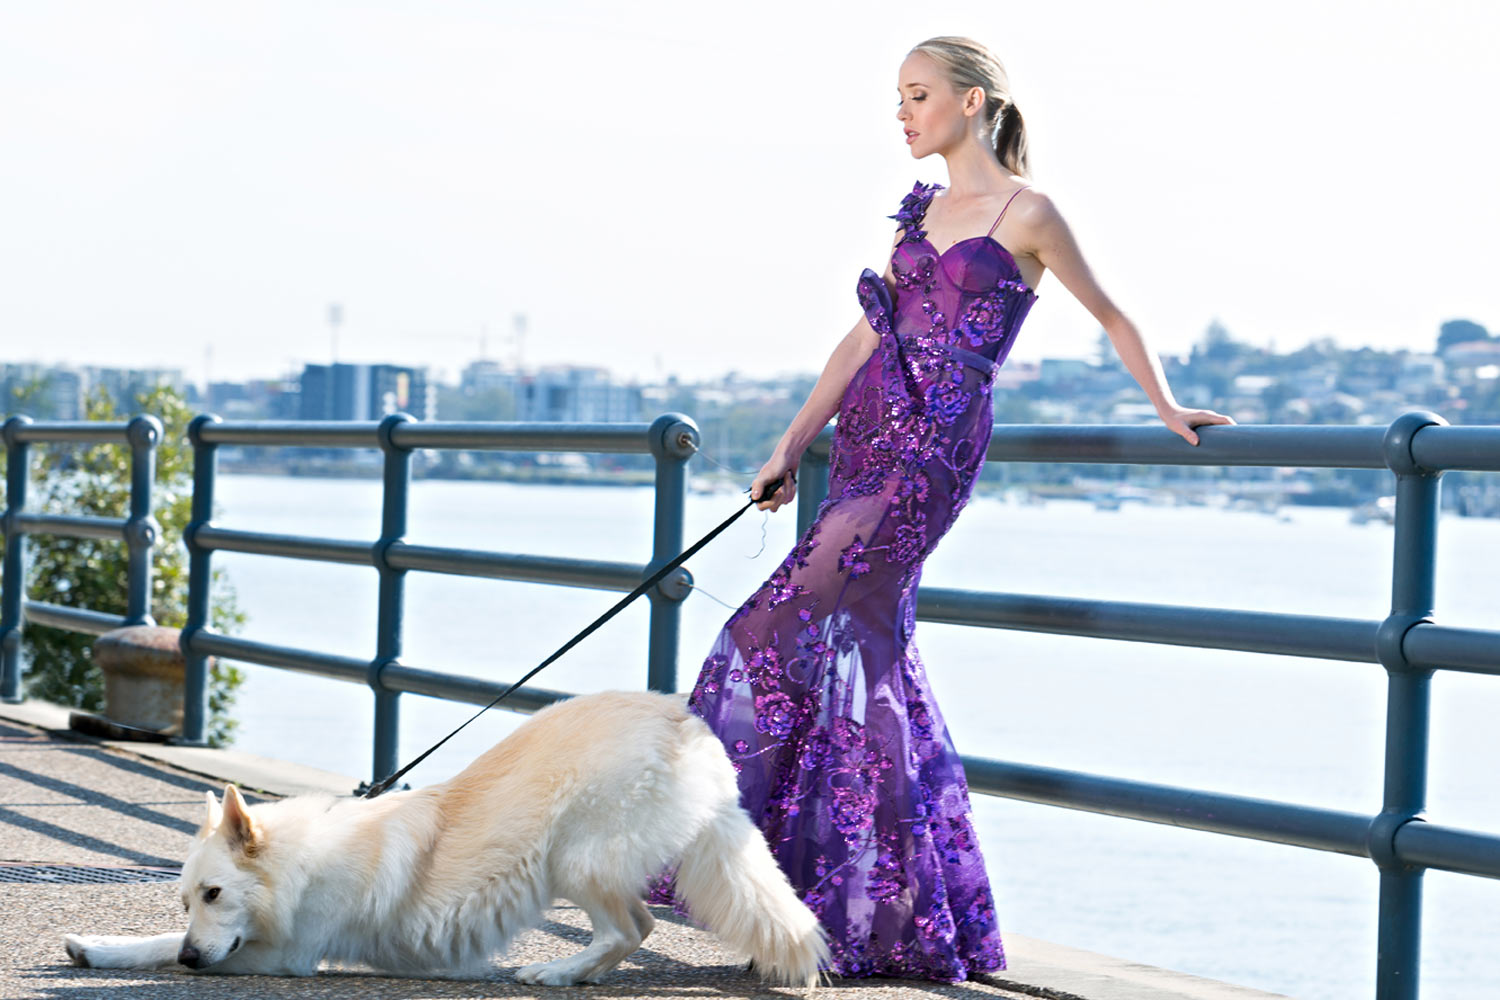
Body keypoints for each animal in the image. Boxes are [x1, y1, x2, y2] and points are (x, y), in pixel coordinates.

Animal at [61, 689, 834, 983]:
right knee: (633, 927)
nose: (194, 964)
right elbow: (156, 941)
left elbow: (163, 948)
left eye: (216, 894)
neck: (299, 866)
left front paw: (116, 952)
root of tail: (683, 719)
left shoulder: (287, 955)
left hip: (574, 858)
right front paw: (101, 946)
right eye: (187, 897)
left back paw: (559, 972)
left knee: (632, 927)